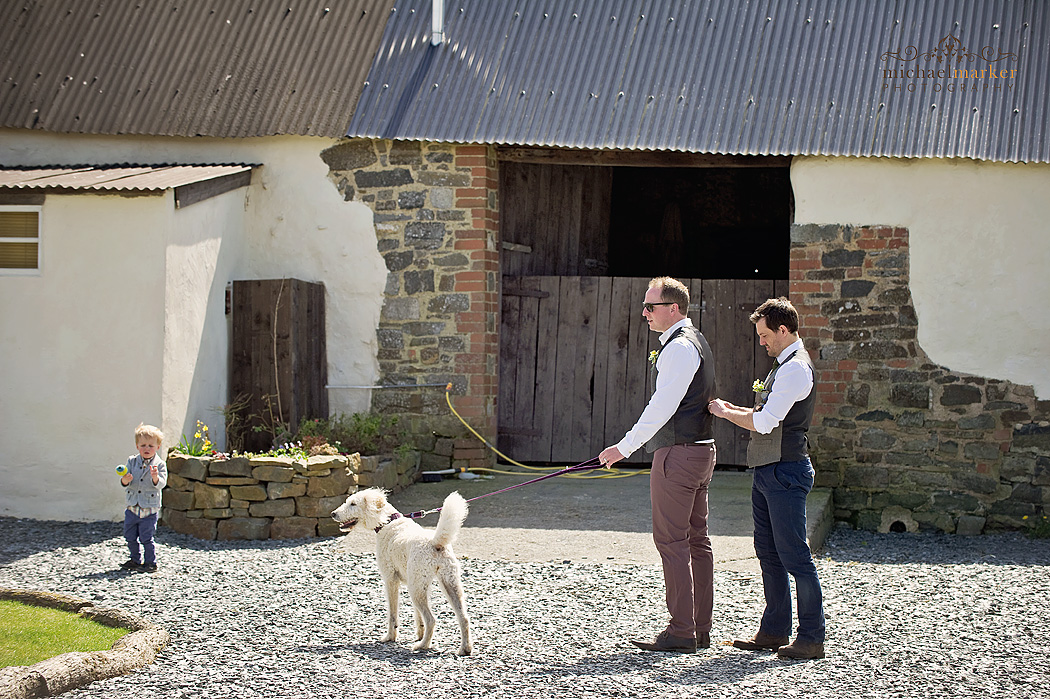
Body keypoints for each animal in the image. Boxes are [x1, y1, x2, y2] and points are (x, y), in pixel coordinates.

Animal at [331, 484, 472, 654]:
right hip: (448, 584)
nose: (333, 514)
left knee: (431, 619)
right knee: (464, 618)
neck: (387, 522)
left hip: (416, 589)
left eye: (353, 504)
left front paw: (390, 637)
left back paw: (423, 646)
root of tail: (435, 543)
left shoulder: (390, 580)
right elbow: (418, 616)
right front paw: (419, 633)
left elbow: (392, 615)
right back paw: (465, 648)